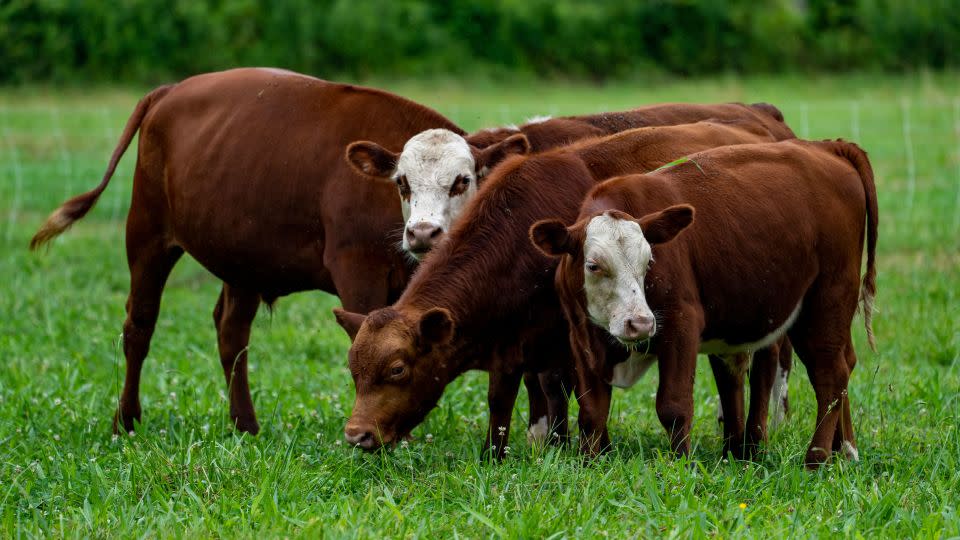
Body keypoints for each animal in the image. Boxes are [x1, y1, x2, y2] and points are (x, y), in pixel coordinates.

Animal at [30, 67, 480, 436]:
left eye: (463, 180)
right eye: (401, 182)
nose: (423, 232)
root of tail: (169, 91)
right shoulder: (358, 269)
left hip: (242, 257)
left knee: (230, 331)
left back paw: (244, 423)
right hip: (146, 232)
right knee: (139, 326)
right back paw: (126, 420)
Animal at [532, 140, 876, 468]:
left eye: (649, 262)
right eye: (593, 265)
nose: (640, 323)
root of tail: (827, 147)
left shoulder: (681, 324)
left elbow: (673, 405)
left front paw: (681, 464)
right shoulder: (582, 335)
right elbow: (592, 409)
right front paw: (590, 462)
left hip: (827, 301)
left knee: (831, 375)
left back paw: (815, 458)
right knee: (841, 364)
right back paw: (842, 450)